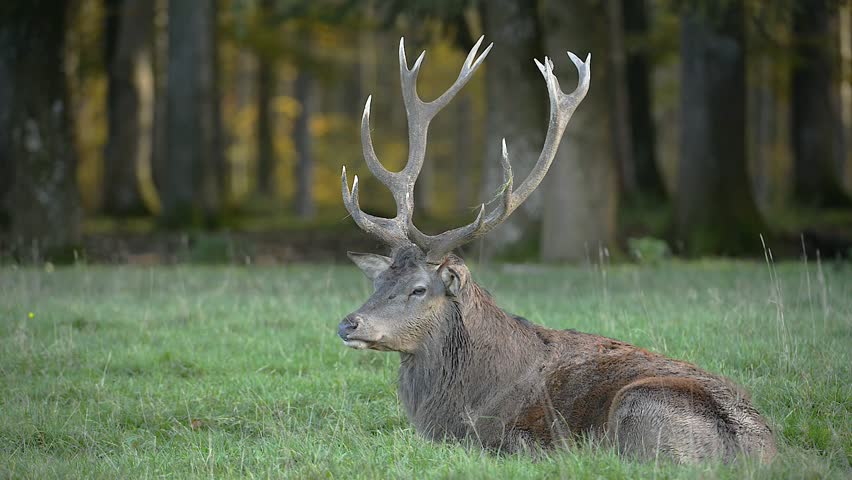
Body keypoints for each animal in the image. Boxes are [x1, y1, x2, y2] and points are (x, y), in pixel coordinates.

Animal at [336, 35, 776, 464]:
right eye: (378, 283)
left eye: (419, 288)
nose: (348, 323)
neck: (459, 402)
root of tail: (757, 448)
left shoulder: (506, 438)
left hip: (639, 409)